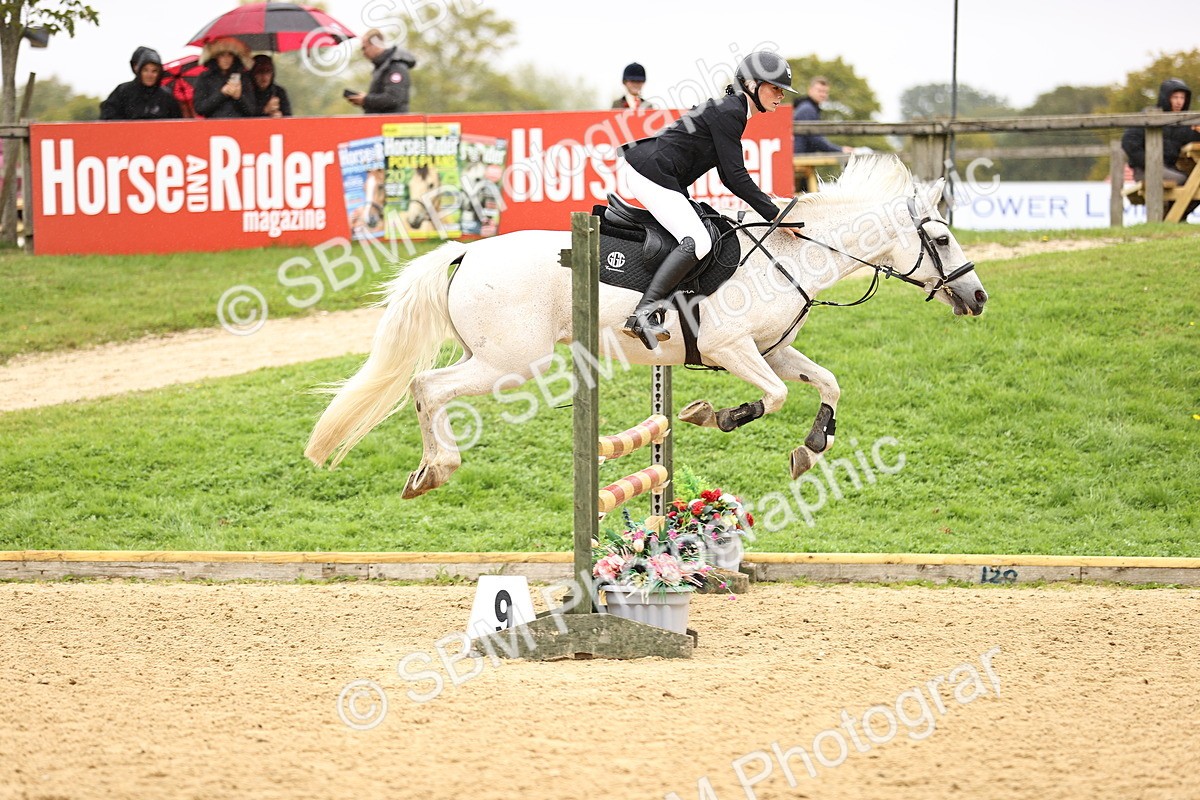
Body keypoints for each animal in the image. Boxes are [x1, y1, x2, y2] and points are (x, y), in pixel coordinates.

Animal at [305, 155, 988, 499]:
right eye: (942, 239)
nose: (978, 297)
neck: (793, 255)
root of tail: (468, 251)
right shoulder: (731, 348)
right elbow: (771, 397)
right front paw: (714, 415)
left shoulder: (772, 349)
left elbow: (827, 384)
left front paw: (811, 446)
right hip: (511, 363)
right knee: (427, 389)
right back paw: (437, 468)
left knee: (426, 390)